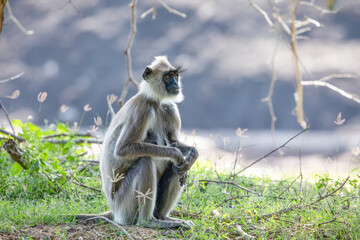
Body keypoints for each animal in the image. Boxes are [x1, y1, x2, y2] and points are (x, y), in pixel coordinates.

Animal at [94, 55, 198, 229]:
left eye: (175, 76)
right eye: (167, 77)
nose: (175, 84)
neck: (155, 102)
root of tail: (114, 211)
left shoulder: (170, 108)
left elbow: (174, 143)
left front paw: (193, 155)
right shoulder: (142, 110)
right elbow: (123, 149)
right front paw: (177, 154)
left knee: (176, 168)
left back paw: (164, 217)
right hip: (124, 204)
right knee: (145, 162)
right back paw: (148, 221)